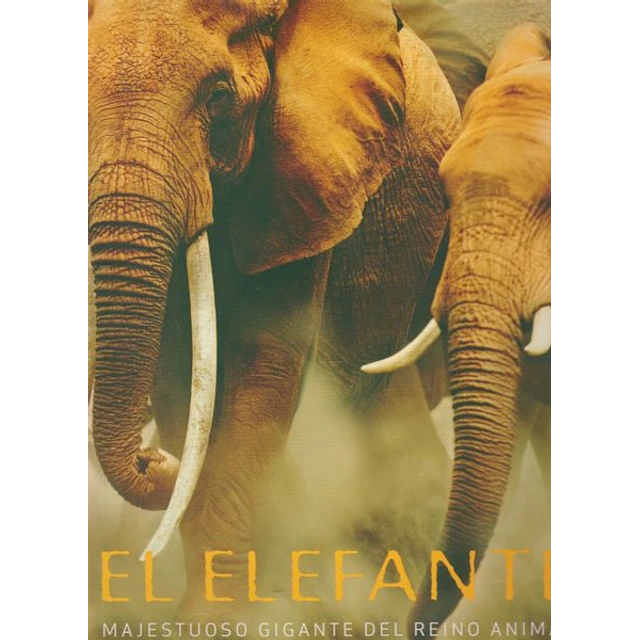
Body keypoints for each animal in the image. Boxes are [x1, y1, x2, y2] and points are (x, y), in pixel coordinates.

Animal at [88, 0, 497, 622]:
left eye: (218, 96)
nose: (152, 459)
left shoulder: (309, 174)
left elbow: (263, 360)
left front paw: (222, 618)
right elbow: (181, 376)